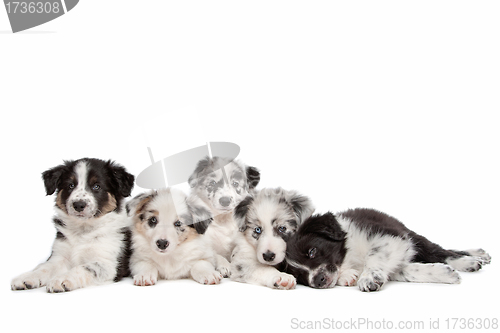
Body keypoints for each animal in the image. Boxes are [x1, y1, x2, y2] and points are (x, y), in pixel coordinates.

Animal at [10, 157, 135, 292]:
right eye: (71, 185)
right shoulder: (59, 256)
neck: (83, 230)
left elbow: (83, 268)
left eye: (97, 186)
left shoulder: (108, 263)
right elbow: (44, 267)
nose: (79, 205)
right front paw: (27, 277)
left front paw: (62, 279)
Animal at [284, 210, 490, 290]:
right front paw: (444, 274)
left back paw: (472, 259)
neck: (349, 257)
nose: (317, 281)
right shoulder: (397, 257)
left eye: (312, 252)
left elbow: (374, 254)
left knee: (440, 251)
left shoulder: (391, 236)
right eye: (300, 276)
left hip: (412, 236)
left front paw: (369, 277)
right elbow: (410, 271)